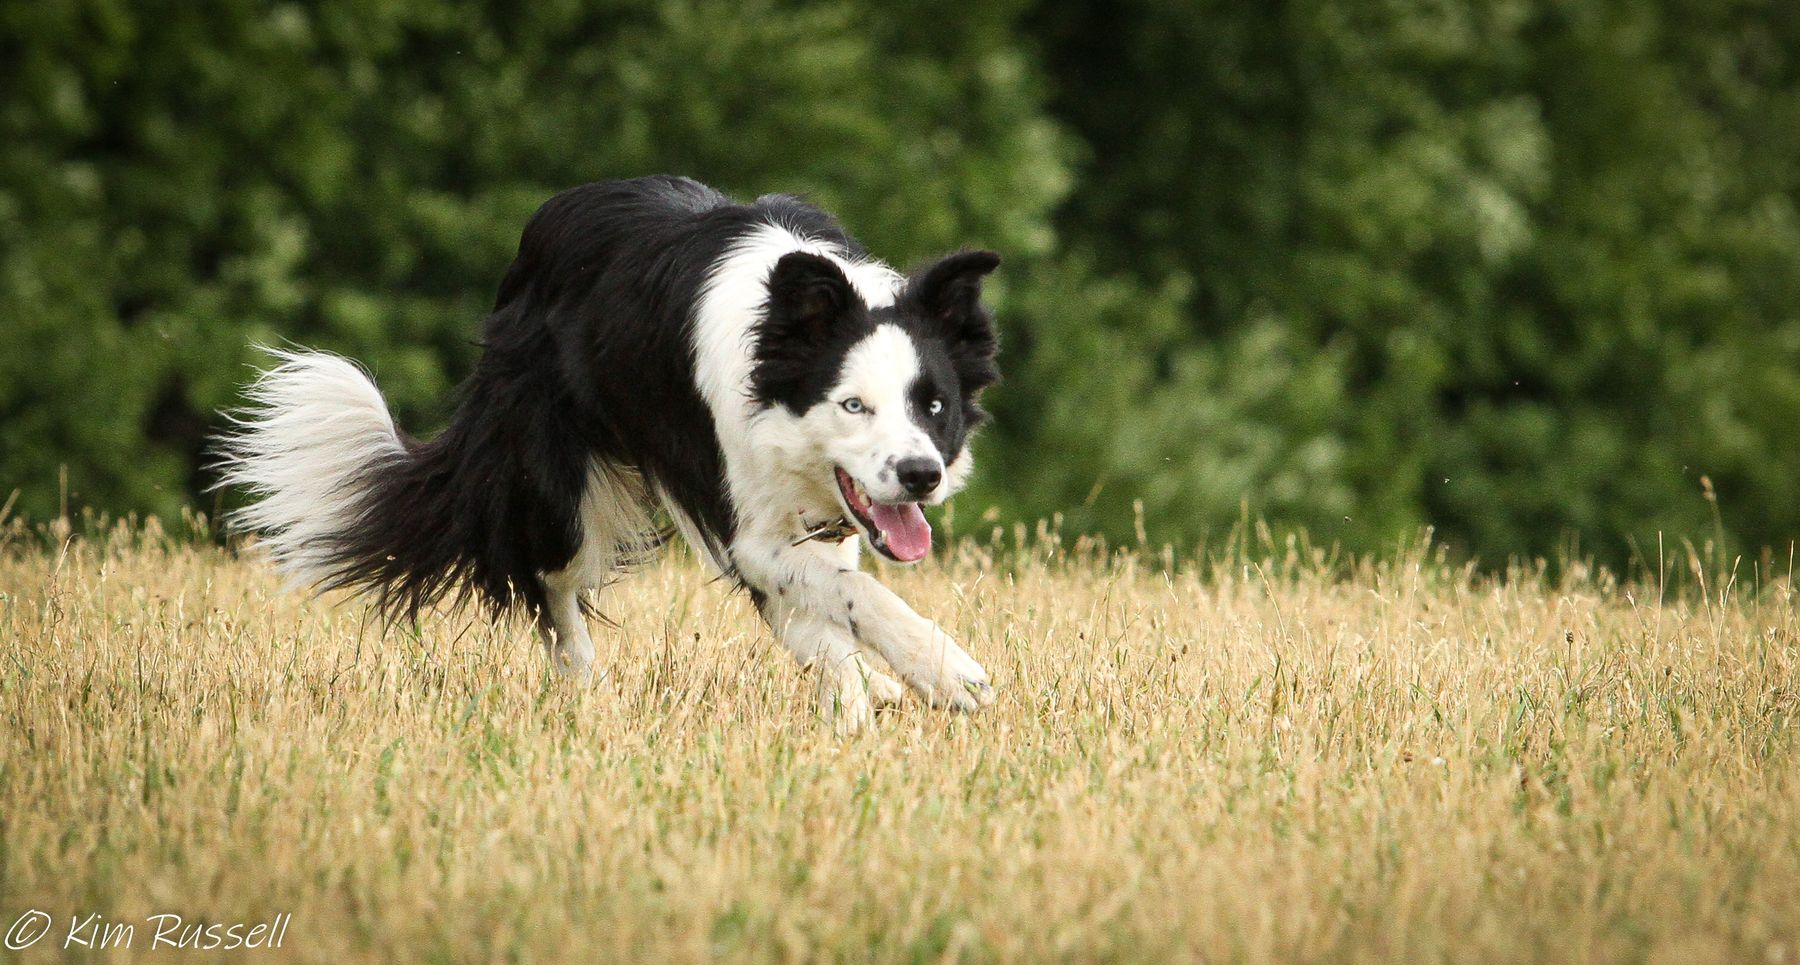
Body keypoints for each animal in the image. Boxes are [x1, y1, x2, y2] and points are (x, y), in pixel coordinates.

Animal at [219, 177, 1008, 727]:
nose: (921, 476)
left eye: (933, 405)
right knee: (554, 588)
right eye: (853, 406)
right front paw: (948, 672)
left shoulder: (810, 513)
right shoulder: (742, 513)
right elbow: (846, 590)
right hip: (553, 482)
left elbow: (829, 593)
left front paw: (865, 695)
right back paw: (584, 696)